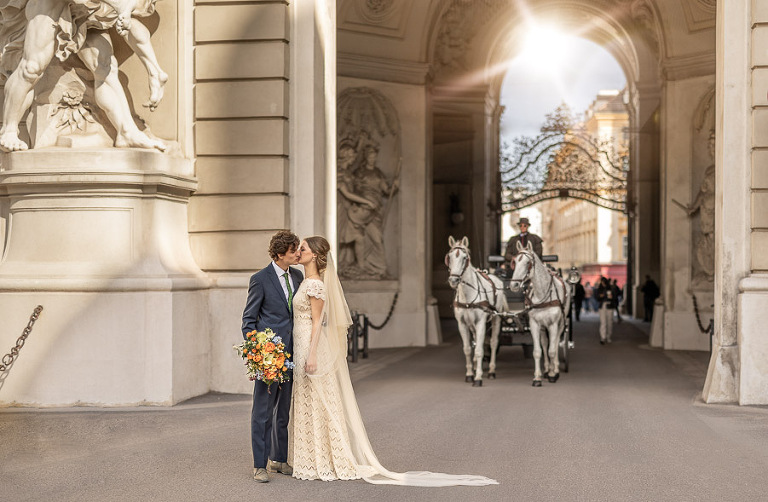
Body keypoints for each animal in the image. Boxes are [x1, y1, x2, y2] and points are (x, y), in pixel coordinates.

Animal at [448, 237, 508, 386]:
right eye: (449, 257)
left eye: (464, 258)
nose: (453, 280)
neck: (468, 295)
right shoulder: (463, 324)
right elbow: (468, 349)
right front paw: (470, 373)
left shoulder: (481, 322)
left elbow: (480, 349)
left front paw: (478, 377)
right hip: (473, 325)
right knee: (476, 342)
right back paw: (476, 366)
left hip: (495, 319)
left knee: (493, 343)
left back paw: (491, 371)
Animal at [510, 241, 568, 386]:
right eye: (515, 262)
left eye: (527, 263)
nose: (514, 285)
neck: (543, 294)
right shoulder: (534, 324)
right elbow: (538, 351)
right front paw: (537, 377)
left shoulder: (553, 324)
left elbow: (552, 350)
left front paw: (553, 375)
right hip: (543, 327)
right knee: (545, 343)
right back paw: (547, 369)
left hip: (561, 323)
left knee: (556, 343)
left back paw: (555, 369)